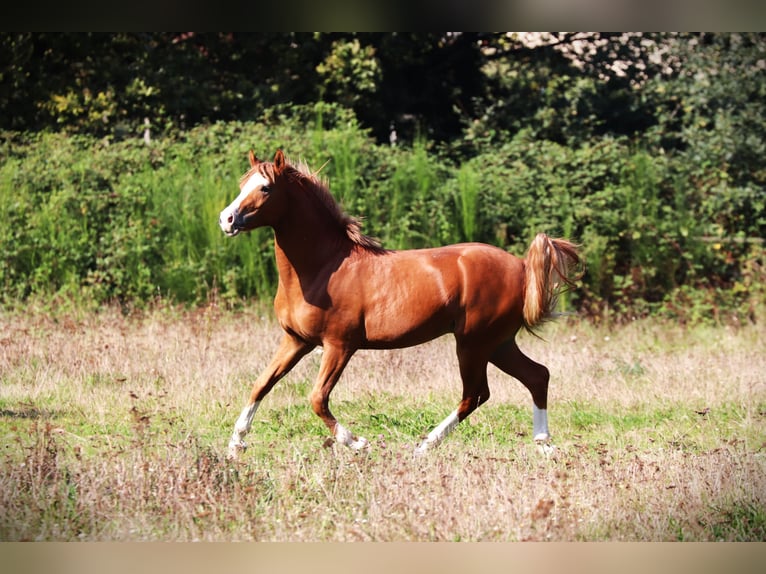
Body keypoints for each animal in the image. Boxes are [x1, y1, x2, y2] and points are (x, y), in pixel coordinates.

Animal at [218, 150, 584, 464]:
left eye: (265, 187)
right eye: (242, 184)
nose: (227, 219)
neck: (323, 268)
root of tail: (521, 267)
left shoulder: (339, 345)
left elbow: (317, 399)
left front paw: (358, 443)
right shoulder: (296, 340)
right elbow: (261, 384)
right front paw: (236, 445)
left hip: (473, 343)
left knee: (476, 393)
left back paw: (423, 446)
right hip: (498, 343)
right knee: (536, 376)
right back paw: (544, 445)